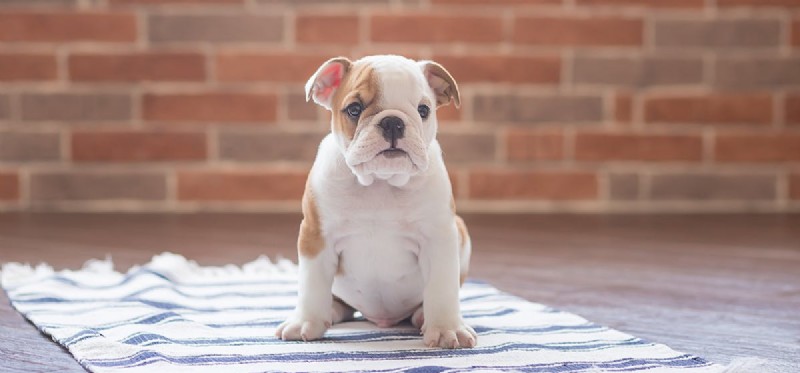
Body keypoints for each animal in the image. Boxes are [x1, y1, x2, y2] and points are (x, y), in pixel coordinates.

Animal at [276, 55, 476, 348]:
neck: (381, 182)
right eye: (354, 109)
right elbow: (311, 285)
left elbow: (442, 288)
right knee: (340, 303)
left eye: (424, 110)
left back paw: (421, 315)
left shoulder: (439, 238)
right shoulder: (316, 236)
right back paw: (331, 310)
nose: (393, 122)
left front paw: (446, 329)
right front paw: (305, 322)